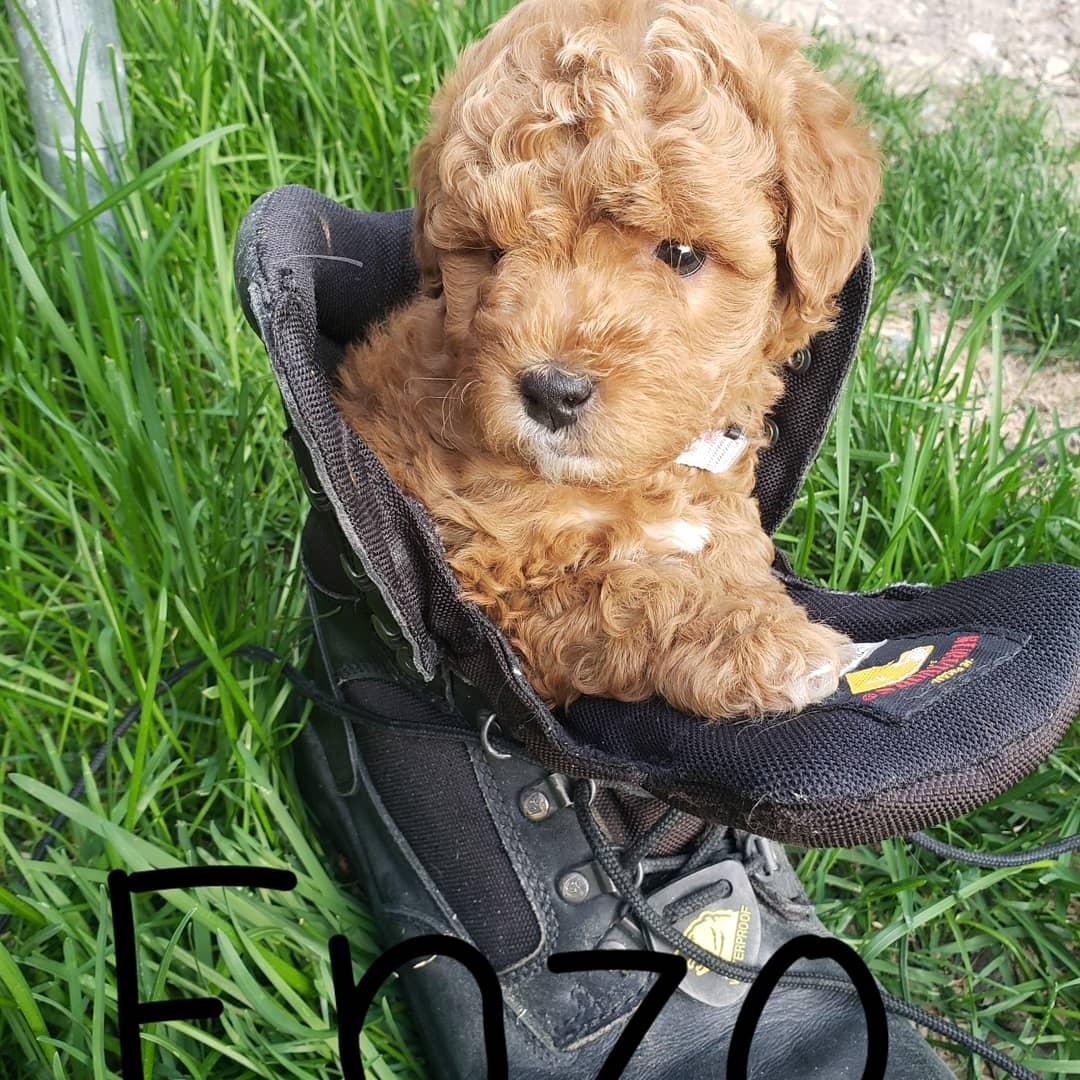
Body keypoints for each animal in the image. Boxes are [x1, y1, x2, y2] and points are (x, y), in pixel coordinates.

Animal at [335, 0, 880, 719]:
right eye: (491, 252)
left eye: (682, 253)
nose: (551, 391)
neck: (636, 478)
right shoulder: (489, 576)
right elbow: (625, 594)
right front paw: (762, 646)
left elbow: (727, 553)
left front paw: (754, 607)